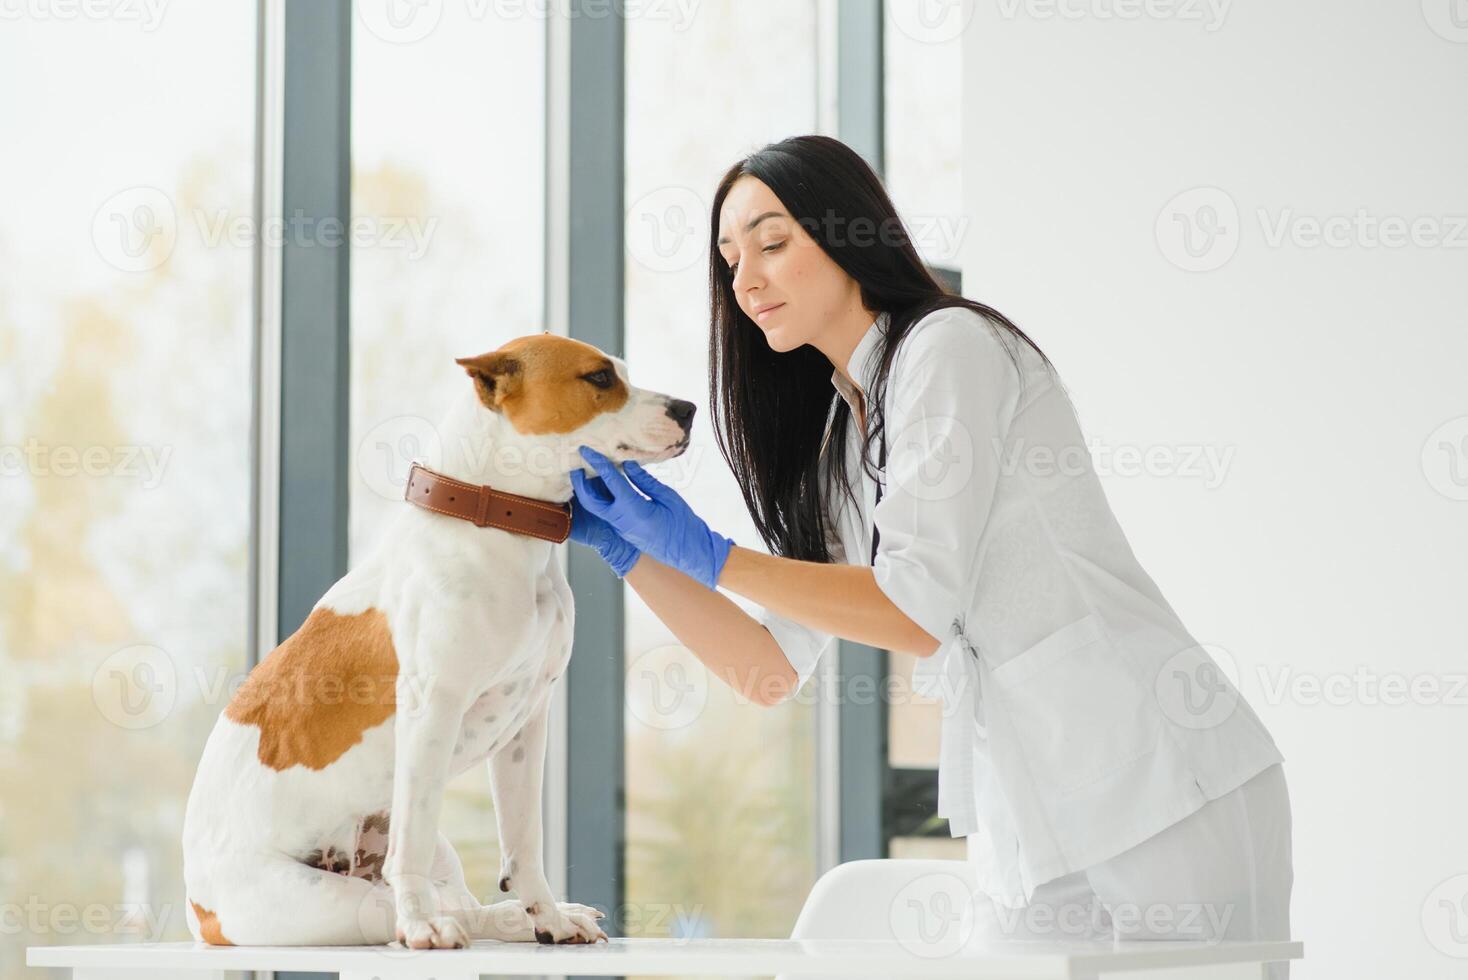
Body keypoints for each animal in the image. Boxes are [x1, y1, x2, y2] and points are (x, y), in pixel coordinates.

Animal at [180, 333, 695, 944]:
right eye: (598, 378)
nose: (688, 409)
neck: (499, 524)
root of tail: (197, 907)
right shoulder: (433, 712)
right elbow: (413, 849)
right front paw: (423, 925)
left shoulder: (529, 723)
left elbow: (524, 842)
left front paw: (546, 916)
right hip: (331, 903)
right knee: (405, 891)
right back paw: (427, 920)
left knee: (463, 902)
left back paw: (529, 918)